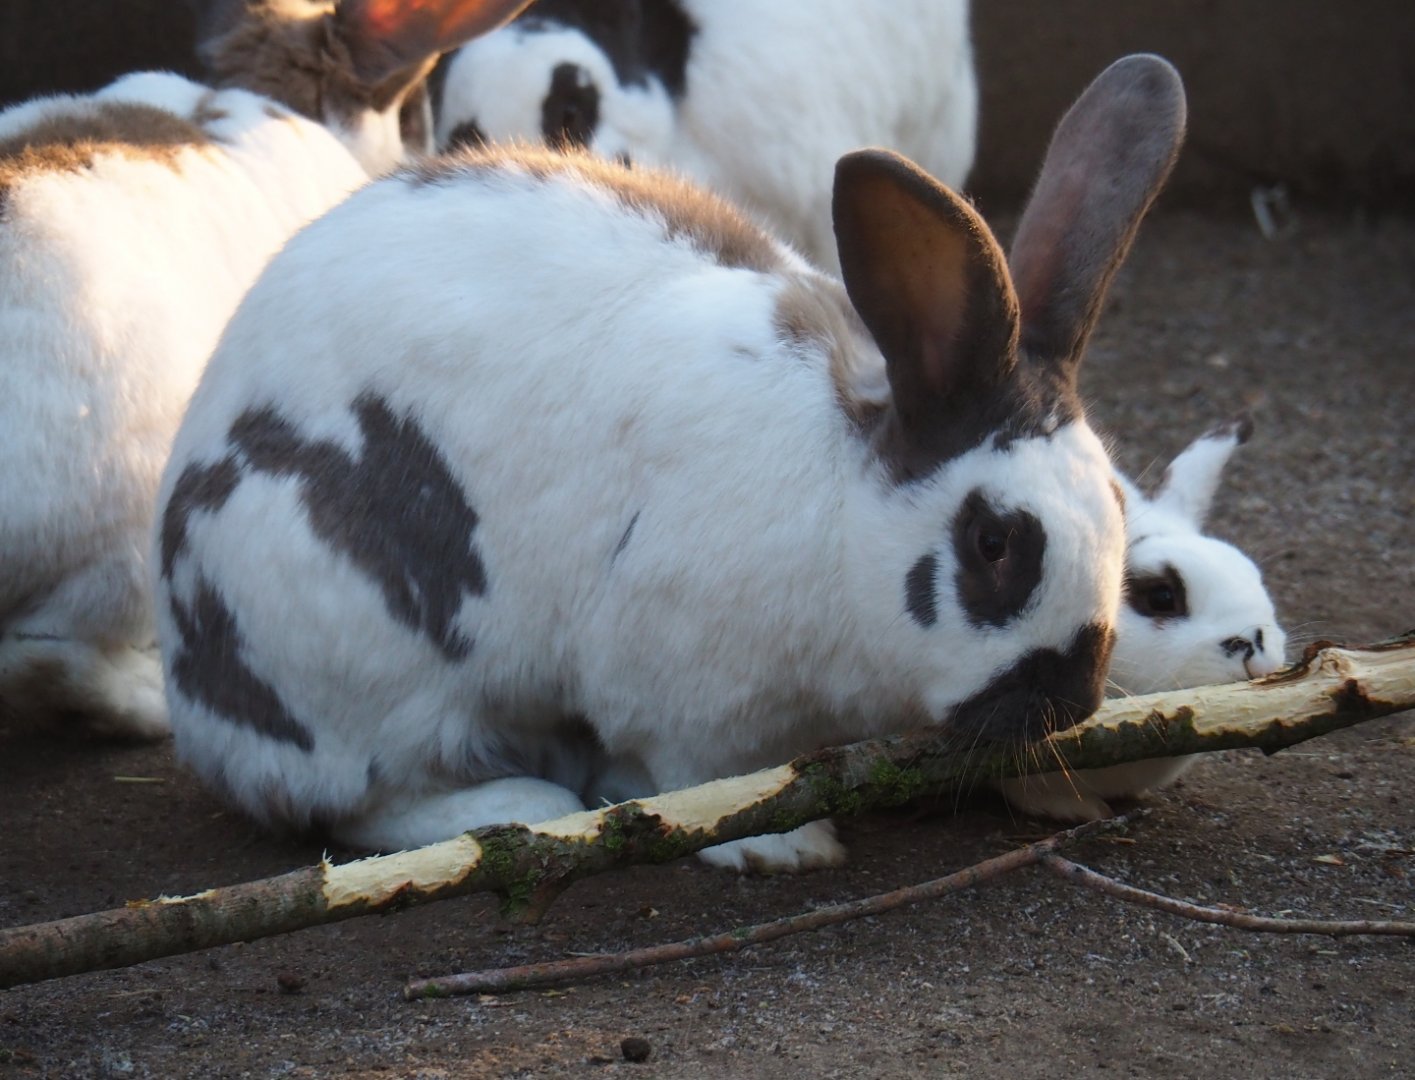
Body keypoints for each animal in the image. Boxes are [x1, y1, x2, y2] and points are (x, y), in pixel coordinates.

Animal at [155, 54, 1186, 871]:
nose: (1071, 698)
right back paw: (522, 806)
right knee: (361, 800)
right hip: (336, 620)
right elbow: (705, 776)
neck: (839, 511)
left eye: (1116, 507)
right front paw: (781, 846)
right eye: (993, 544)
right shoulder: (679, 688)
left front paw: (1070, 790)